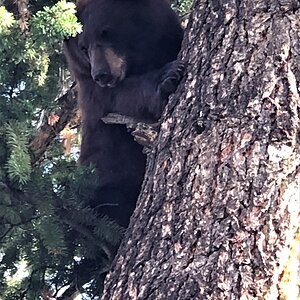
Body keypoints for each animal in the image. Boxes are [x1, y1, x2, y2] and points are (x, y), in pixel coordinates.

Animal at [64, 0, 184, 226]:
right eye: (83, 47)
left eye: (106, 32)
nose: (101, 74)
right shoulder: (95, 93)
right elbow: (125, 98)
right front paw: (167, 77)